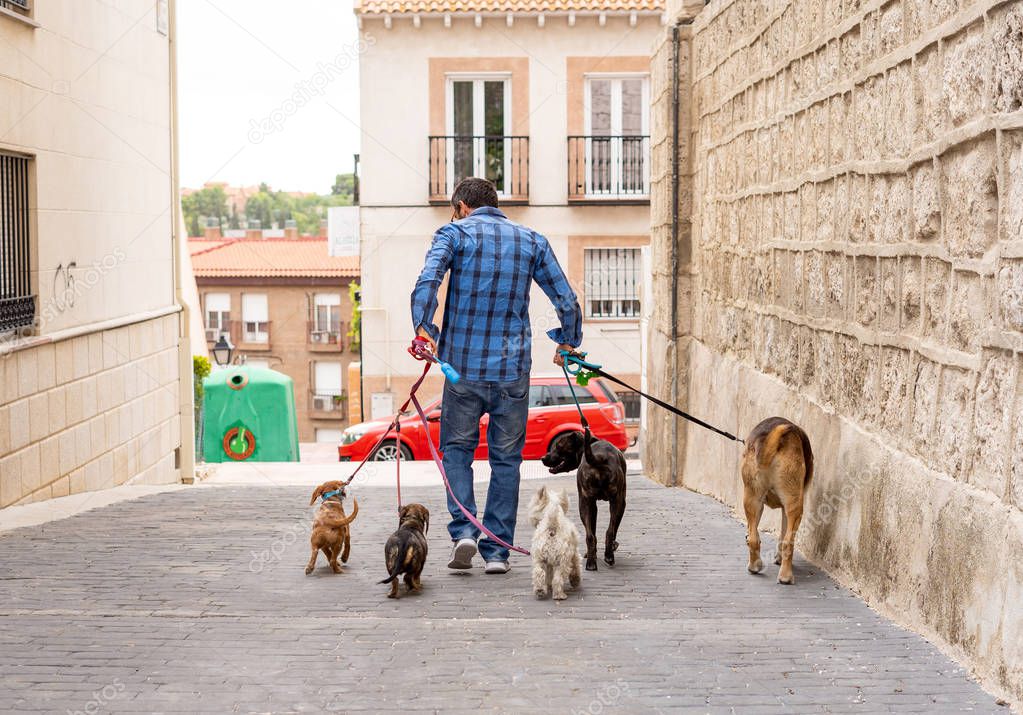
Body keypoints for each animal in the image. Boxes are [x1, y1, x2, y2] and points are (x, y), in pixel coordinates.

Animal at [544, 431, 621, 568]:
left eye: (558, 446)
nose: (542, 458)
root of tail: (599, 457)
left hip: (588, 504)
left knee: (593, 535)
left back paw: (594, 561)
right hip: (610, 502)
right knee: (607, 532)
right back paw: (605, 556)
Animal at [744, 417, 814, 585]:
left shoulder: (764, 506)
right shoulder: (785, 509)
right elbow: (783, 536)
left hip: (752, 500)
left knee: (754, 538)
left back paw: (754, 566)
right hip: (795, 506)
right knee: (789, 541)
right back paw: (786, 577)